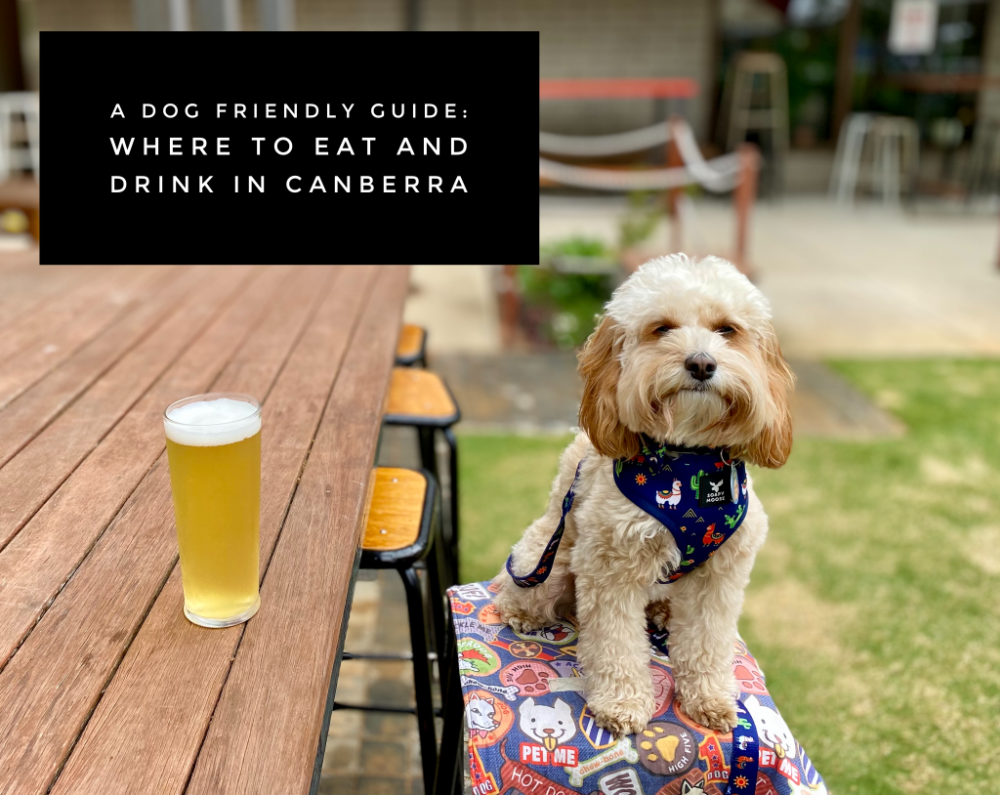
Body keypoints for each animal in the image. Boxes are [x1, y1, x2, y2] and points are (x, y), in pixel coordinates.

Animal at [488, 255, 792, 740]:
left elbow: (708, 641)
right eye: (661, 328)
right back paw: (525, 614)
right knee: (520, 592)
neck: (688, 462)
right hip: (546, 559)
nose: (702, 363)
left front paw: (709, 698)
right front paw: (622, 704)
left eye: (727, 330)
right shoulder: (609, 566)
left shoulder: (721, 575)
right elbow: (615, 644)